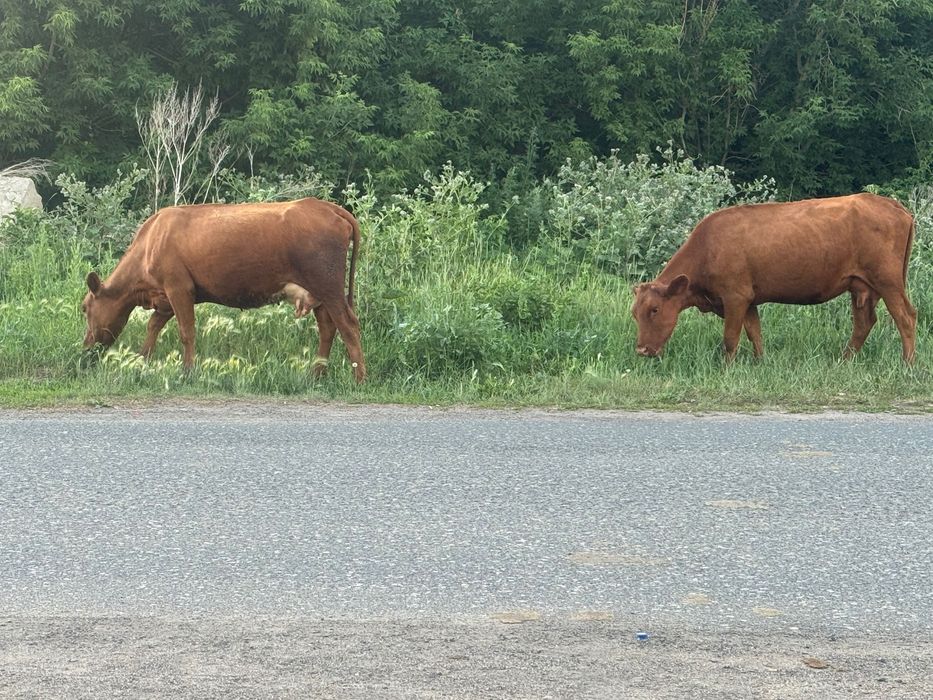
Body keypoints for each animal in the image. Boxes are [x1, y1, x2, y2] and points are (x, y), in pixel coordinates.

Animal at [81, 197, 366, 382]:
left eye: (84, 308)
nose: (85, 348)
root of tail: (327, 206)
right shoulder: (166, 297)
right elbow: (153, 327)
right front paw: (142, 361)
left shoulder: (178, 288)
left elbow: (186, 332)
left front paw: (188, 372)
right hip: (318, 294)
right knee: (328, 328)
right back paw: (316, 375)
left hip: (328, 287)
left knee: (348, 326)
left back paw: (358, 379)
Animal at [631, 193, 917, 363]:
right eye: (635, 314)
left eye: (655, 309)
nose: (641, 350)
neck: (708, 247)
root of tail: (892, 204)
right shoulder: (749, 299)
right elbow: (754, 333)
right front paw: (760, 362)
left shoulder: (735, 296)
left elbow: (730, 338)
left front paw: (726, 368)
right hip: (861, 286)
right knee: (864, 322)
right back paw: (844, 360)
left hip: (888, 281)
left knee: (906, 318)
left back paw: (907, 363)